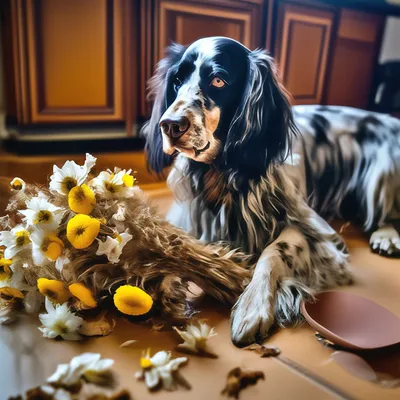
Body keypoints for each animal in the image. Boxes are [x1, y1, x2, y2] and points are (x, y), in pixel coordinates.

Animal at [143, 36, 400, 346]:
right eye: (177, 81)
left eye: (218, 80)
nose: (170, 125)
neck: (223, 173)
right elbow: (176, 244)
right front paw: (165, 279)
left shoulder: (315, 229)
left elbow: (274, 250)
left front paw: (252, 306)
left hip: (381, 174)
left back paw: (386, 234)